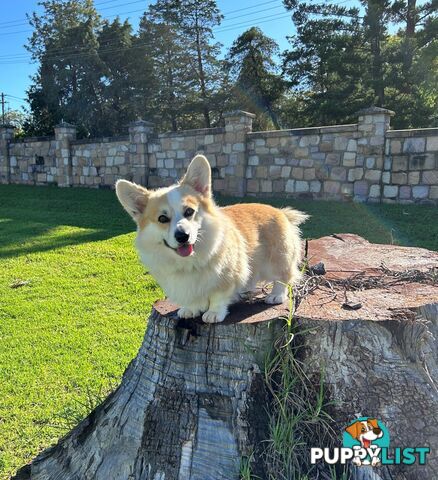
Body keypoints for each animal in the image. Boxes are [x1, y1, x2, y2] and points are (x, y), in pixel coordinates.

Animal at [116, 156, 308, 324]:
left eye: (189, 211)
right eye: (162, 219)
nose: (182, 236)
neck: (189, 261)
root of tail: (281, 212)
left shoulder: (226, 276)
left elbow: (218, 297)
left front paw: (214, 313)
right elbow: (193, 300)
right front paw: (191, 309)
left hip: (277, 260)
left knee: (283, 277)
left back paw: (276, 295)